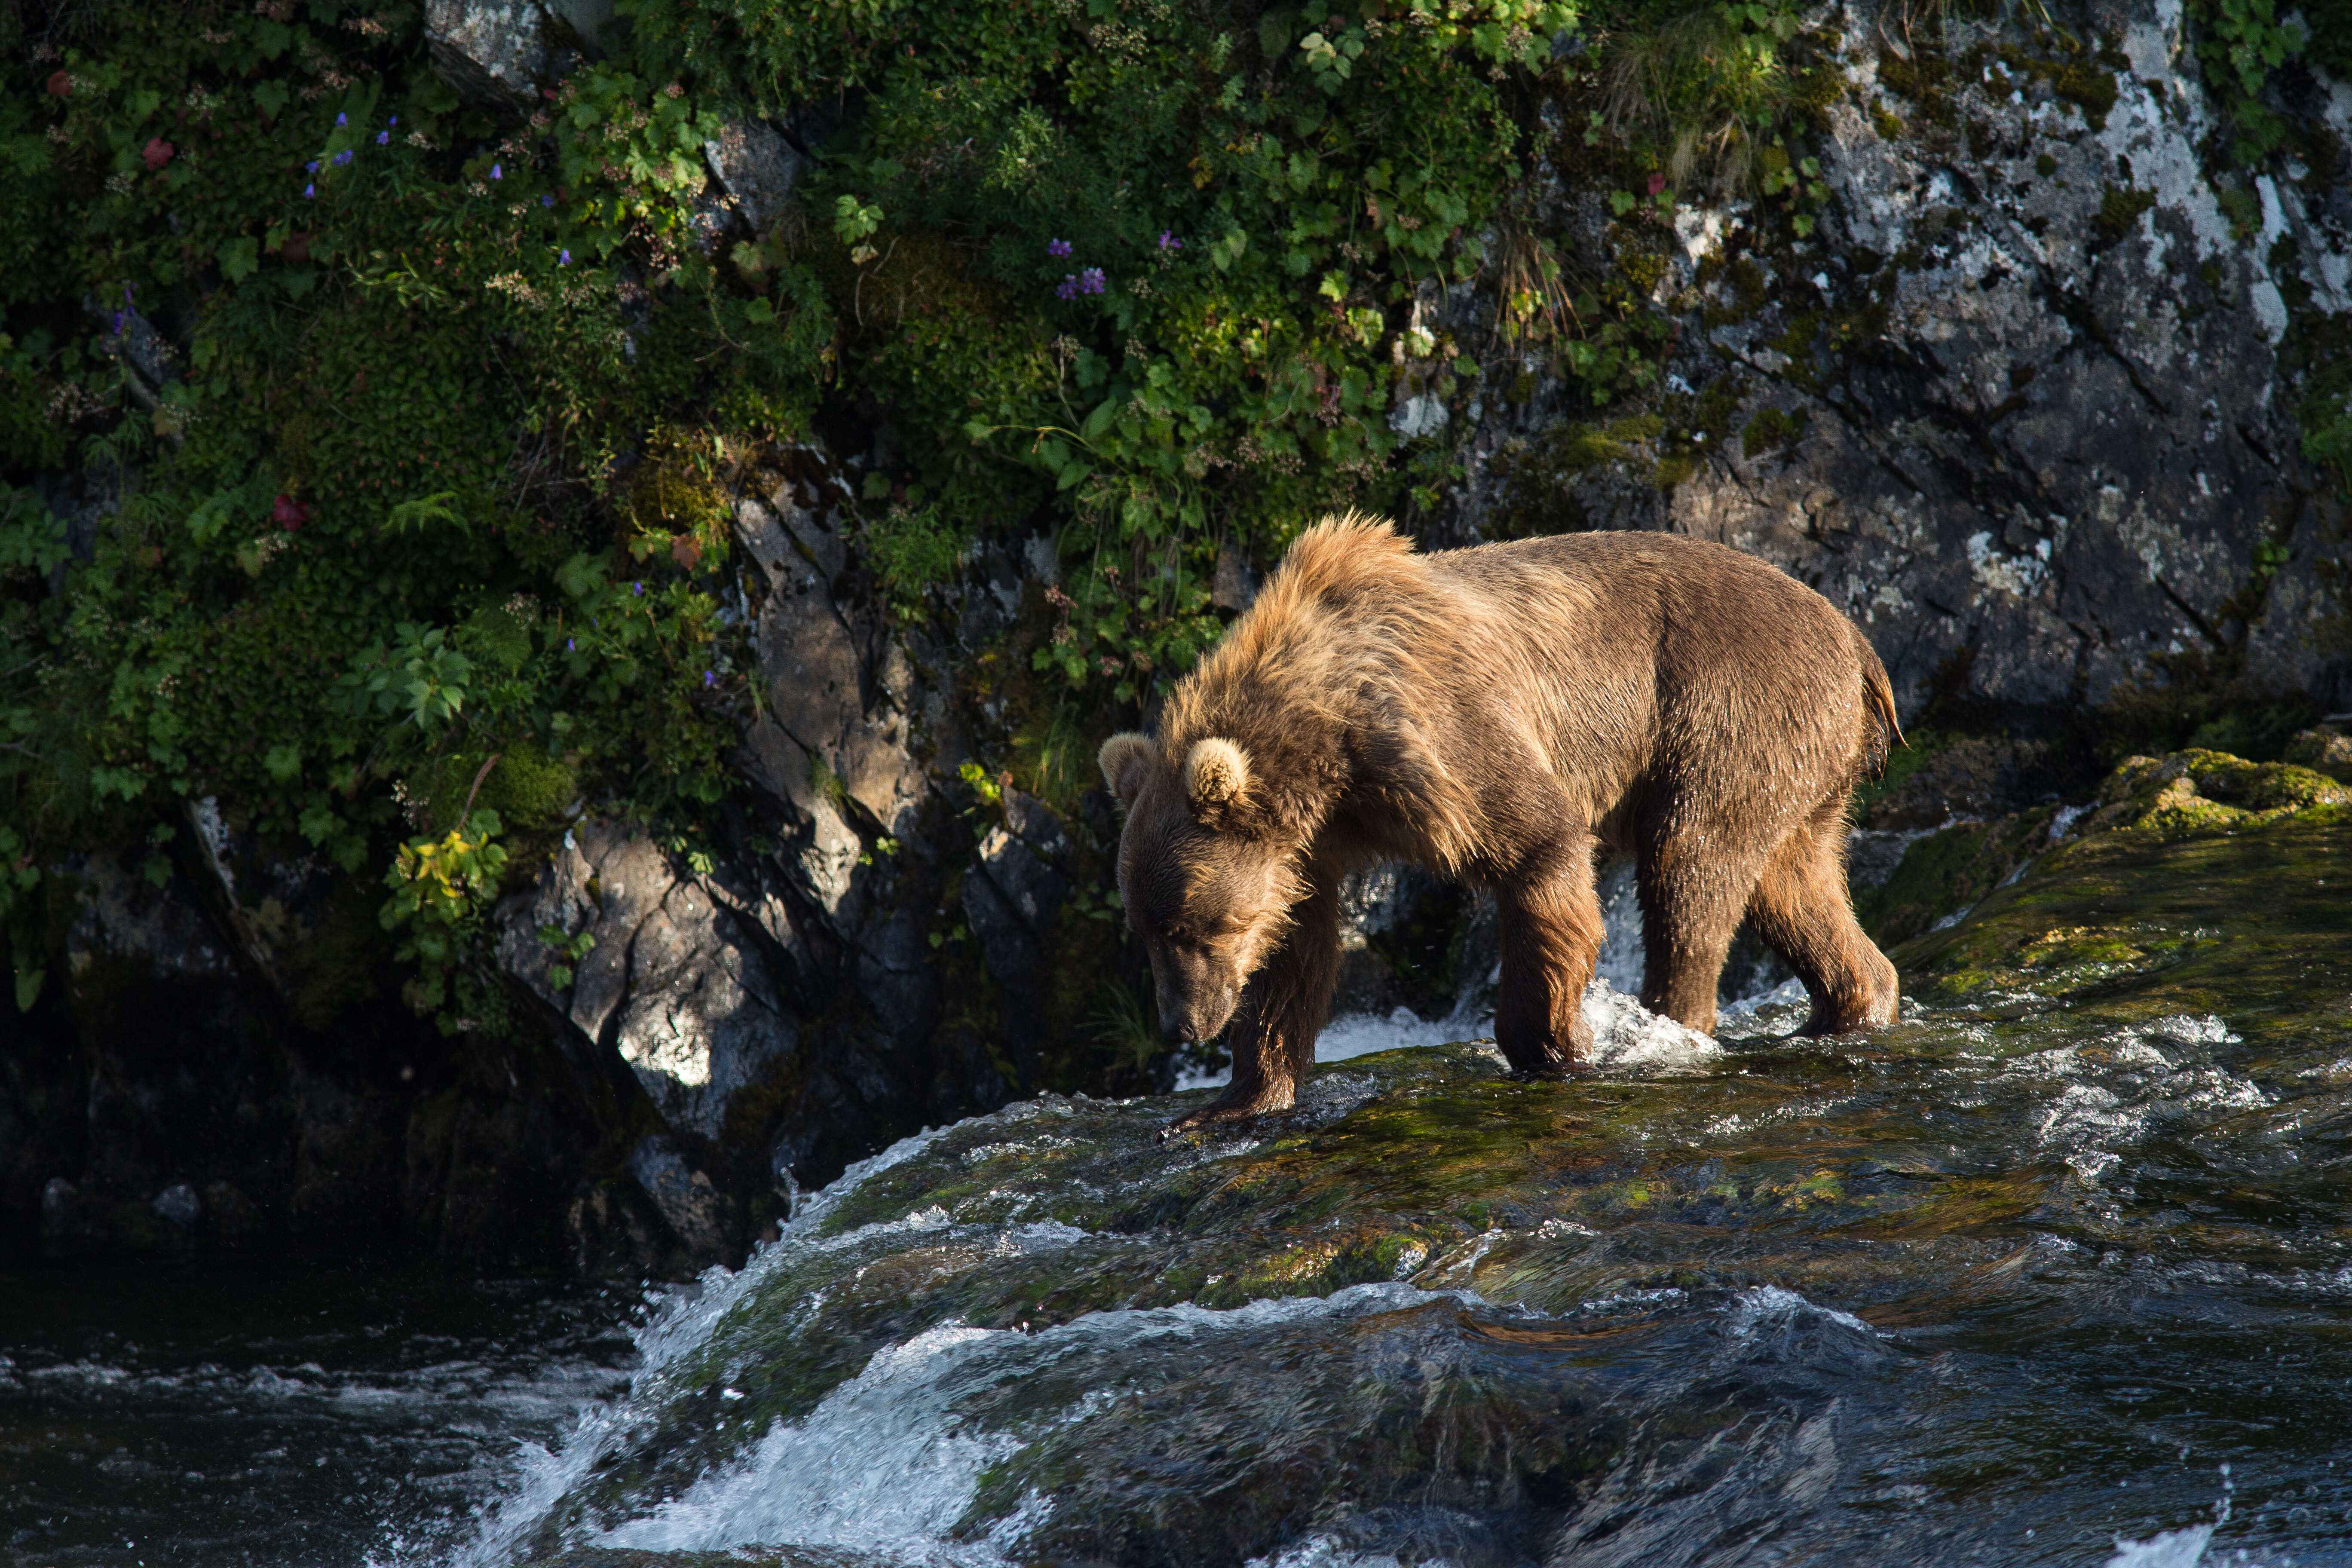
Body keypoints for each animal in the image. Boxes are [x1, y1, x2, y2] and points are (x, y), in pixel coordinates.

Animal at [1105, 514, 1910, 1128]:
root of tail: (1857, 643)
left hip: (1725, 712)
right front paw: (1230, 1101)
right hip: (1801, 766)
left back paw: (1670, 1028)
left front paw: (1549, 1043)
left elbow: (1539, 845)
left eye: (1193, 927)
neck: (1325, 741)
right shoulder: (1314, 842)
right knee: (1793, 887)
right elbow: (1293, 948)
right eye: (1147, 929)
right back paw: (1854, 1000)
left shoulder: (1436, 736)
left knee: (1691, 870)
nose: (1183, 1023)